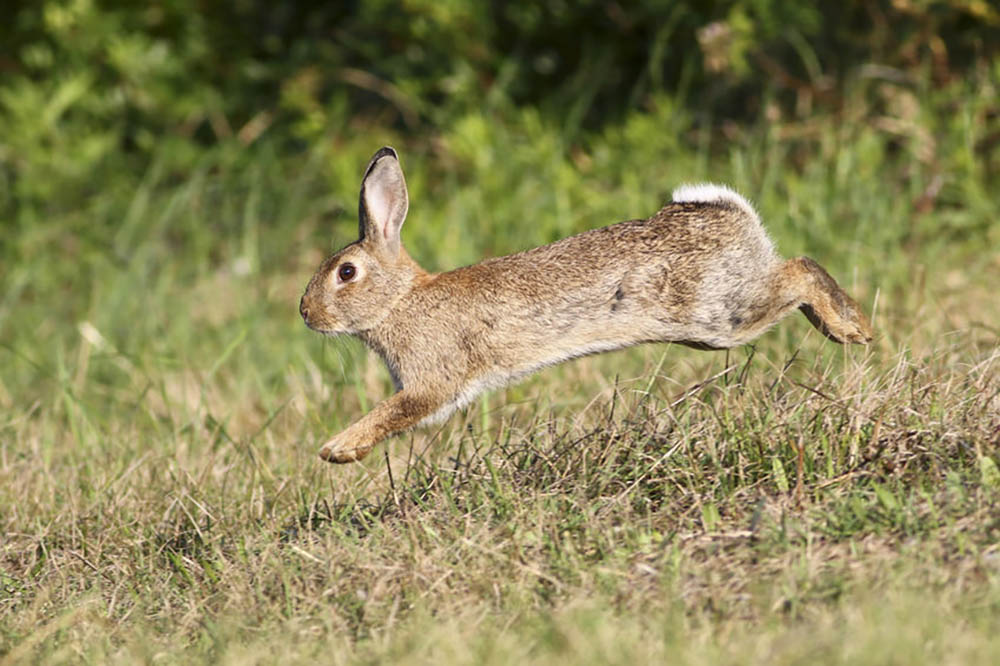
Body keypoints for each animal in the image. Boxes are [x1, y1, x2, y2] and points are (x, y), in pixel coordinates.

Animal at [300, 147, 872, 463]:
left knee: (799, 270)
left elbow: (394, 412)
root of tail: (731, 214)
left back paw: (851, 328)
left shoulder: (432, 380)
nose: (306, 314)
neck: (399, 300)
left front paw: (337, 449)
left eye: (346, 273)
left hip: (719, 314)